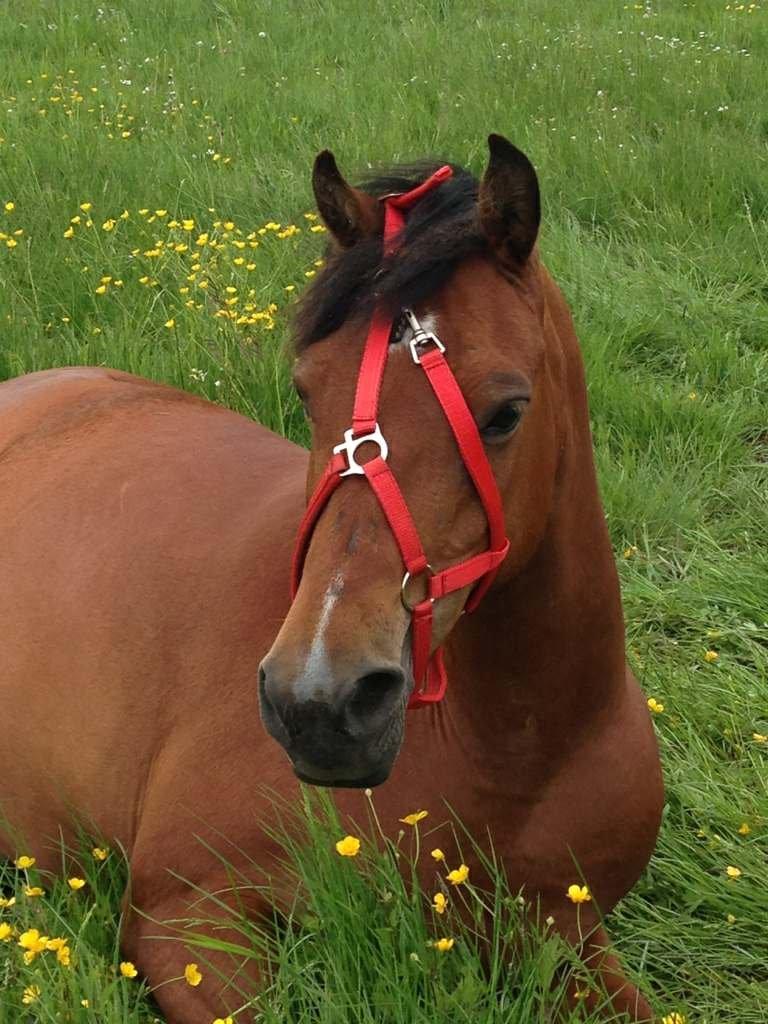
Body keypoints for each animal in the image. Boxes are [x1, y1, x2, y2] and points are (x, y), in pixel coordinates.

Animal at [0, 138, 663, 1024]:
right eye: (307, 390)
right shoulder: (186, 917)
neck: (513, 758)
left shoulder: (570, 941)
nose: (318, 701)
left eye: (507, 412)